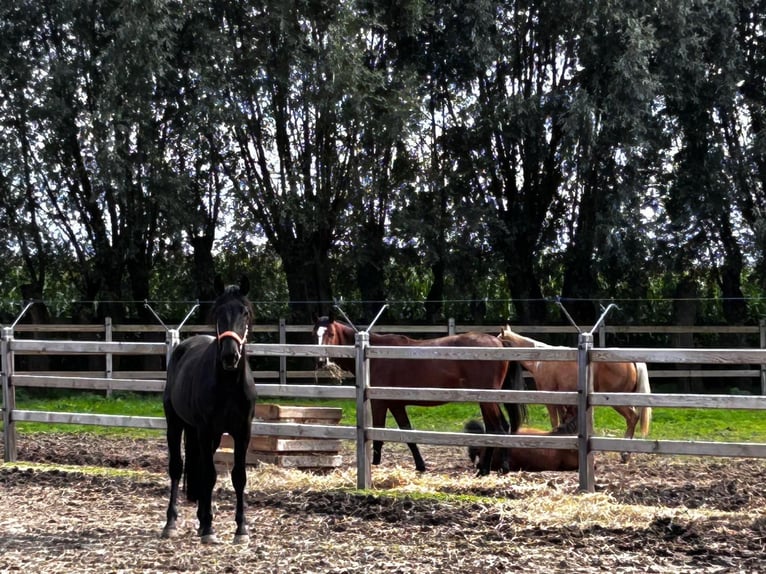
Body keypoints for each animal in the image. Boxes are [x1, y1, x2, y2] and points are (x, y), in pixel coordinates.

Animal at [161, 276, 258, 548]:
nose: (229, 356)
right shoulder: (205, 430)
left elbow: (238, 477)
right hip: (176, 424)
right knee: (177, 467)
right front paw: (209, 529)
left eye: (245, 312)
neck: (228, 384)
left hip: (207, 436)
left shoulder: (242, 432)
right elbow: (209, 475)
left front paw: (241, 529)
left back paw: (201, 518)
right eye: (218, 313)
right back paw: (172, 523)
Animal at [314, 318, 528, 474]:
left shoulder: (379, 403)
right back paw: (498, 467)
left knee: (497, 429)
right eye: (314, 333)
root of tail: (498, 341)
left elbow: (378, 436)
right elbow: (408, 433)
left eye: (330, 333)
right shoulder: (396, 404)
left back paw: (485, 470)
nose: (320, 361)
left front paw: (374, 465)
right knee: (500, 427)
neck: (372, 355)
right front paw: (421, 466)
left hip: (486, 399)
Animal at [498, 326, 656, 462]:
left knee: (632, 417)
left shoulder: (551, 399)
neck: (541, 360)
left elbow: (554, 422)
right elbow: (562, 421)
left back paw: (624, 453)